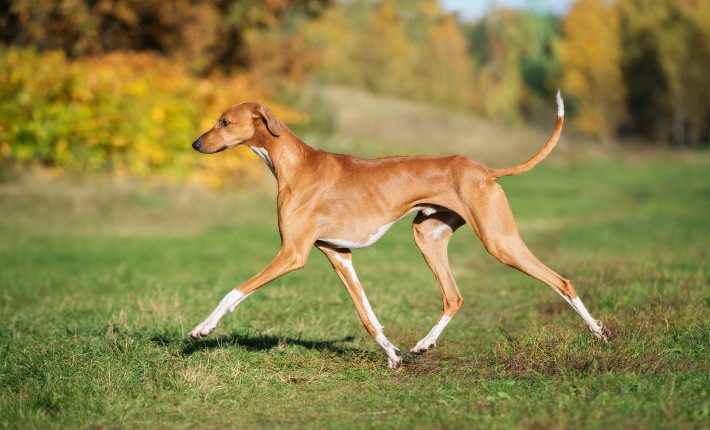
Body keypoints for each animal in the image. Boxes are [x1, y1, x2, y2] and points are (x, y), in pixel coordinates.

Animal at [189, 94, 612, 370]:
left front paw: (202, 328)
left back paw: (598, 332)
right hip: (427, 237)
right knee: (453, 297)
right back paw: (424, 344)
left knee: (561, 281)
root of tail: (484, 169)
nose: (195, 143)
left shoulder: (292, 254)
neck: (296, 164)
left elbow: (235, 291)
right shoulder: (339, 255)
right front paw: (392, 354)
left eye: (224, 122)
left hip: (500, 241)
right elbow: (367, 315)